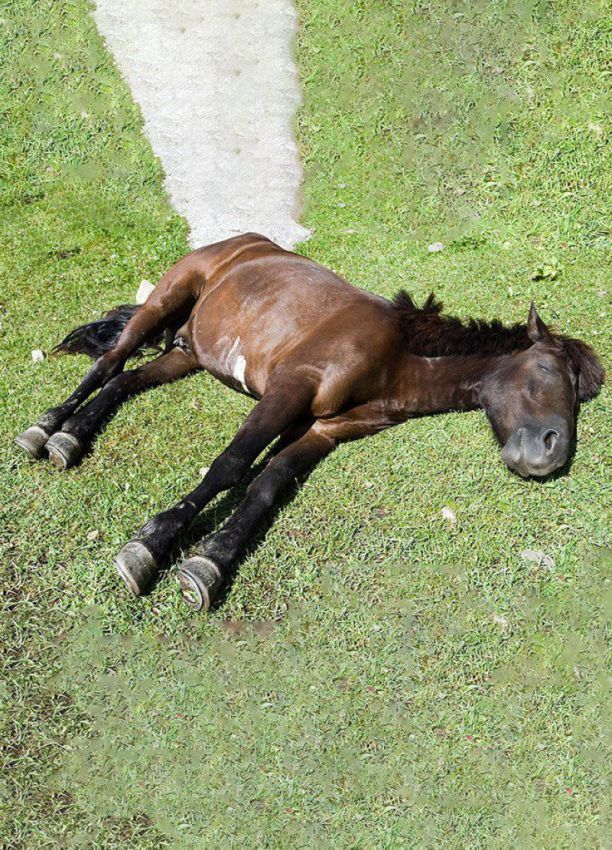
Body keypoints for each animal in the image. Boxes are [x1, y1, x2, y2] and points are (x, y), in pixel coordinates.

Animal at [14, 230, 604, 608]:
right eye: (547, 368)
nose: (552, 451)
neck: (395, 355)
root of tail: (238, 241)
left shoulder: (325, 430)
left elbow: (268, 484)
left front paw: (210, 563)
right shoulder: (290, 388)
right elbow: (231, 466)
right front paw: (149, 546)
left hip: (187, 354)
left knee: (122, 381)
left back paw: (70, 438)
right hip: (165, 298)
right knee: (108, 364)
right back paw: (44, 429)